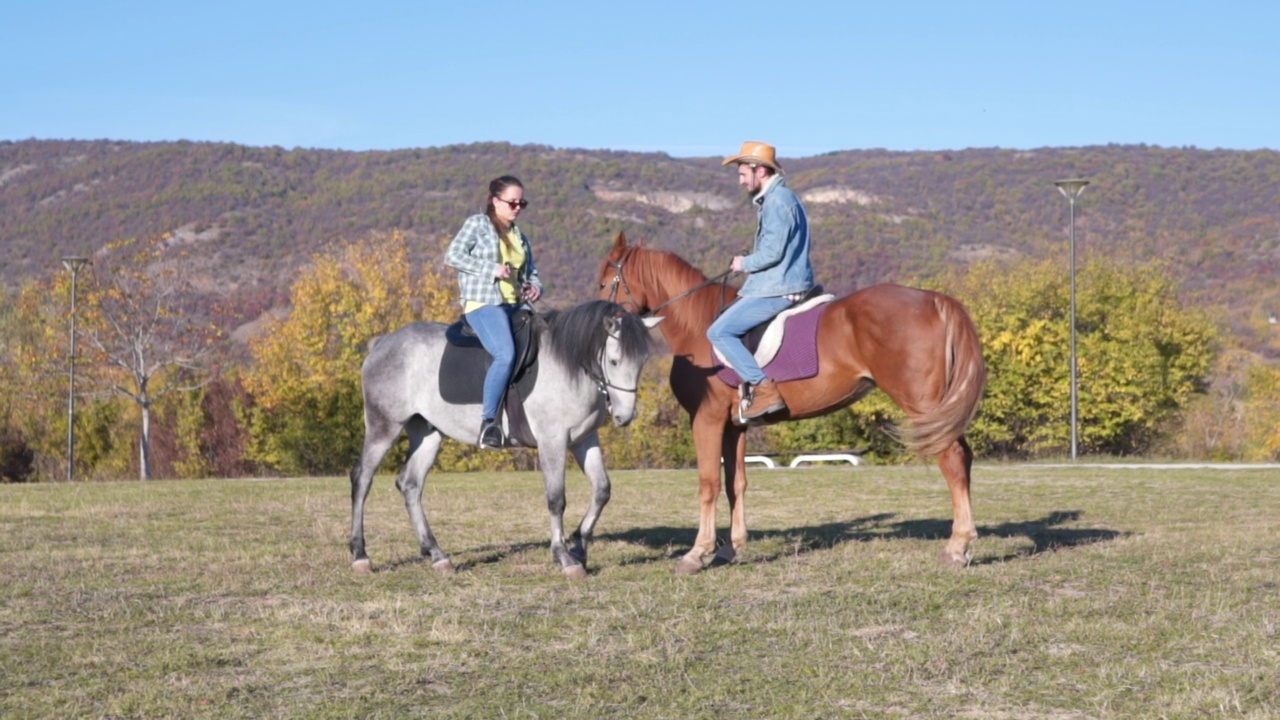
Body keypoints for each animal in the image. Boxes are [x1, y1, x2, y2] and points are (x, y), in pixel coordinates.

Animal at [353, 297, 665, 576]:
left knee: (410, 484)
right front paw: (564, 557)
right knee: (362, 479)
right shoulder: (553, 440)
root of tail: (382, 343)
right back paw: (360, 555)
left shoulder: (583, 440)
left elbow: (601, 490)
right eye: (614, 361)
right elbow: (556, 499)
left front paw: (579, 547)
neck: (569, 367)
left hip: (427, 433)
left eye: (642, 361)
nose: (624, 417)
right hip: (384, 427)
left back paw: (437, 555)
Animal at [599, 234, 988, 571]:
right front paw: (730, 549)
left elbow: (708, 483)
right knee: (963, 457)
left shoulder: (707, 419)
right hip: (938, 409)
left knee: (952, 459)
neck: (696, 324)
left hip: (922, 405)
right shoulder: (735, 426)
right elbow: (735, 483)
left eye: (604, 282)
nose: (603, 324)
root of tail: (933, 299)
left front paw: (698, 553)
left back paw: (957, 547)